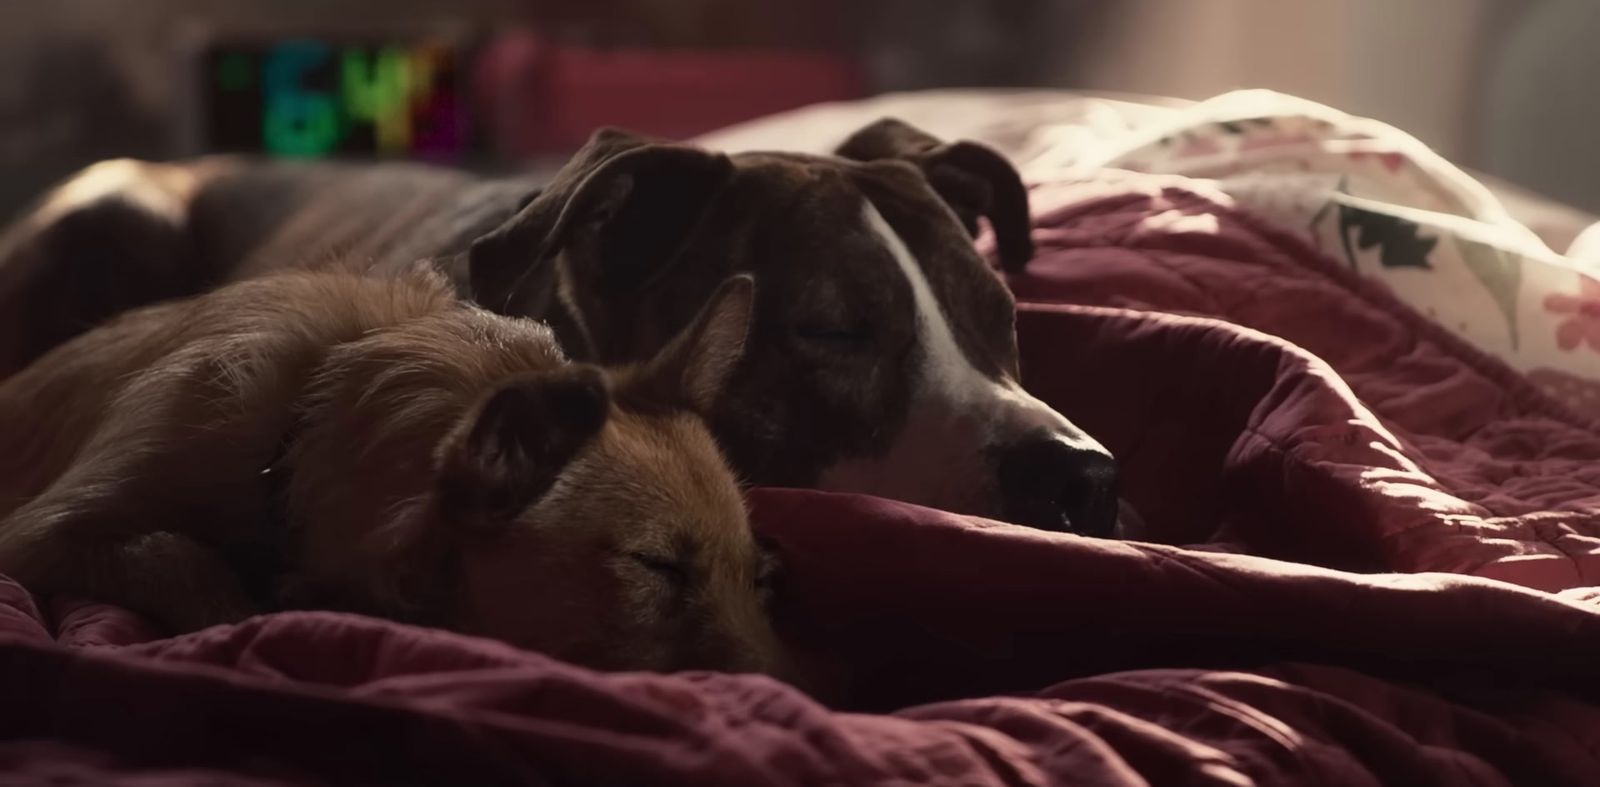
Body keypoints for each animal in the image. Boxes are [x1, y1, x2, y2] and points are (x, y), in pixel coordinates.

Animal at [0, 267, 780, 671]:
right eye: (658, 567)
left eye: (761, 574)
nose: (804, 695)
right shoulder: (37, 534)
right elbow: (179, 557)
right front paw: (242, 616)